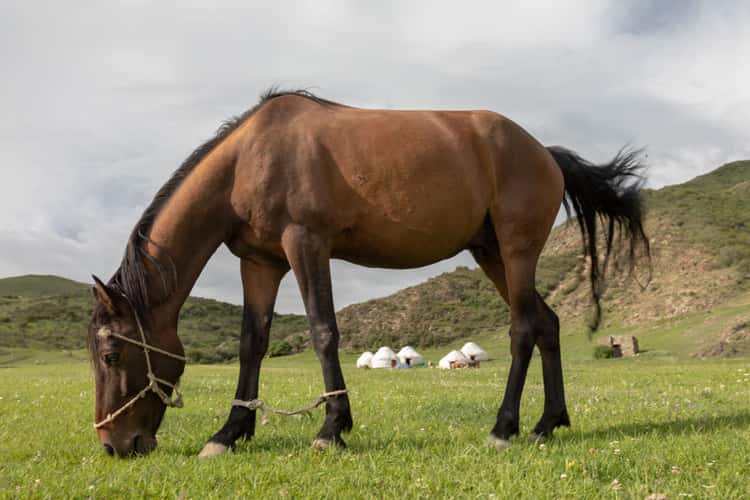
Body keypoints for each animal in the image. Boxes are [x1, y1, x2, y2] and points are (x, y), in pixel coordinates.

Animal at [88, 89, 649, 457]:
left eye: (113, 355)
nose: (114, 444)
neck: (250, 157)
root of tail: (544, 153)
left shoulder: (306, 244)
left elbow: (323, 332)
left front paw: (331, 427)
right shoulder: (260, 263)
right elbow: (253, 343)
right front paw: (230, 432)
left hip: (516, 251)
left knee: (524, 329)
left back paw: (504, 427)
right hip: (490, 253)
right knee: (548, 325)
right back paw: (547, 423)